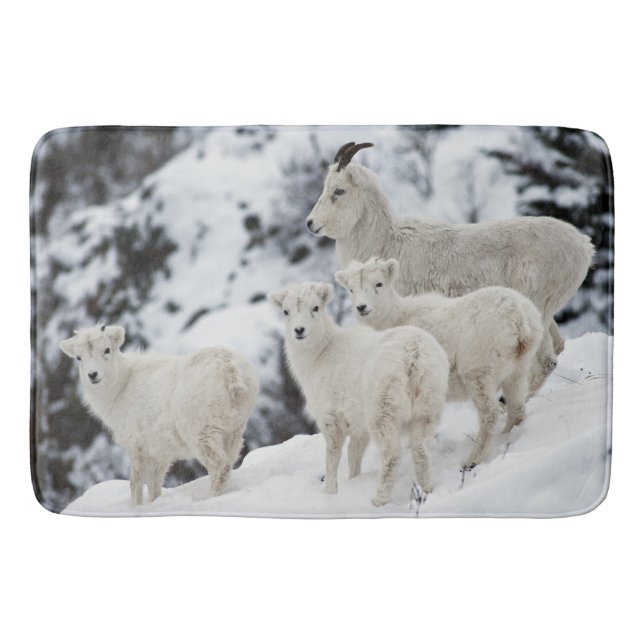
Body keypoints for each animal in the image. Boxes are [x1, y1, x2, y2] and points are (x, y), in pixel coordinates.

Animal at [59, 324, 259, 505]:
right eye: (79, 357)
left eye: (107, 350)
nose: (93, 375)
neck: (122, 387)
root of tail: (230, 370)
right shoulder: (159, 454)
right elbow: (154, 486)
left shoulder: (137, 447)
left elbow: (136, 483)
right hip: (233, 432)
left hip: (202, 434)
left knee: (220, 467)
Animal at [269, 281, 449, 507]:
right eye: (286, 311)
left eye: (316, 308)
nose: (299, 330)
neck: (319, 356)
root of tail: (414, 355)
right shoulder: (358, 427)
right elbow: (354, 457)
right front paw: (352, 481)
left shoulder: (330, 418)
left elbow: (333, 457)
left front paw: (330, 493)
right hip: (427, 408)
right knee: (421, 450)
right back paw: (426, 491)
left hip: (383, 412)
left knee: (391, 456)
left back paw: (378, 500)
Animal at [306, 141, 594, 394]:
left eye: (339, 191)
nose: (310, 223)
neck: (387, 241)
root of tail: (584, 246)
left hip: (539, 311)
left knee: (545, 362)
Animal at [335, 258, 544, 469]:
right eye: (351, 289)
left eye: (379, 283)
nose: (362, 307)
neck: (394, 318)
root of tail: (519, 318)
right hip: (517, 371)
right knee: (516, 409)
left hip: (479, 373)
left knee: (491, 414)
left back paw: (472, 461)